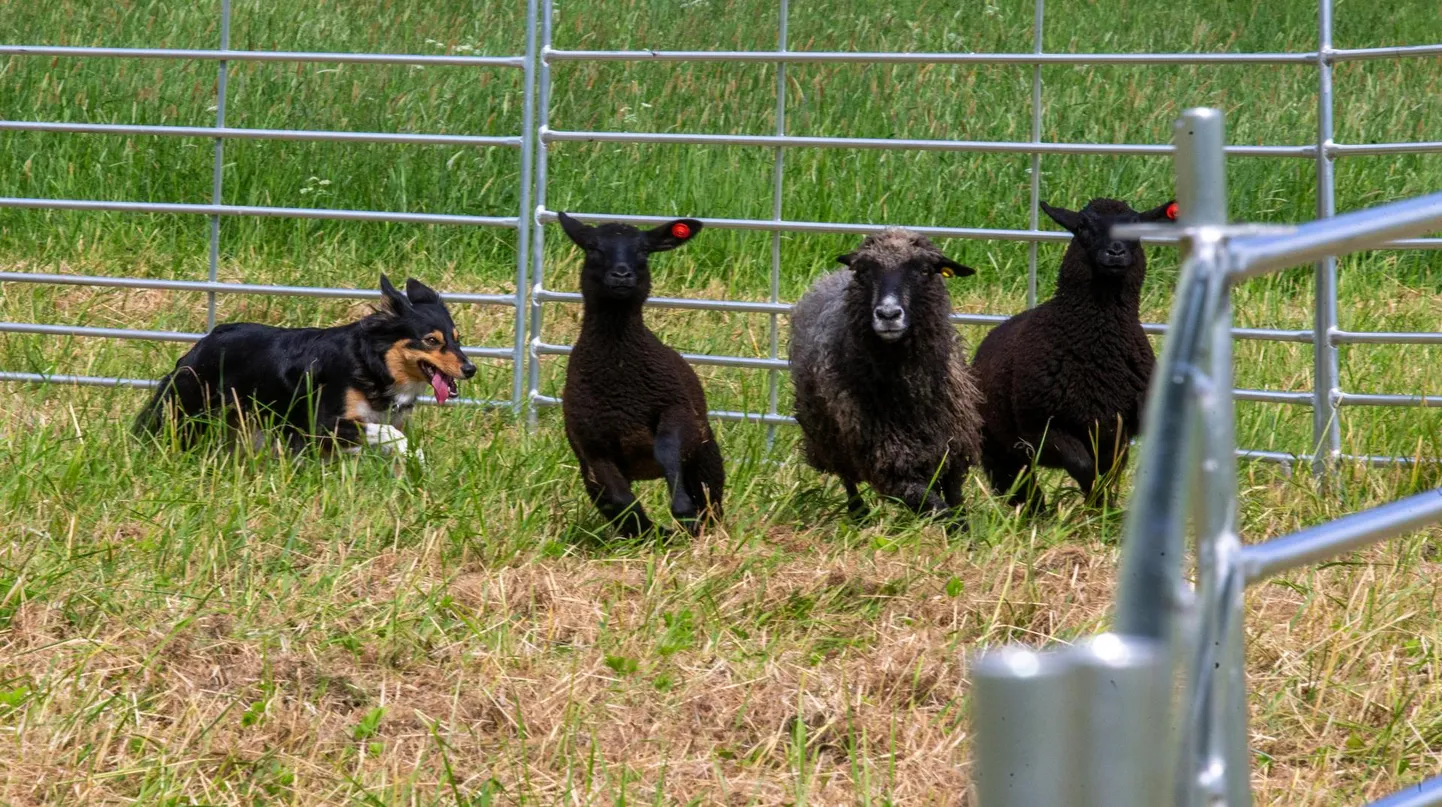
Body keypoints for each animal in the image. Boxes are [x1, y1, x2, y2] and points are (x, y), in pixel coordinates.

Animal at [135, 273, 475, 458]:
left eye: (457, 339)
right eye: (431, 341)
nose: (470, 369)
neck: (373, 364)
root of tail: (202, 343)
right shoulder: (320, 424)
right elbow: (390, 433)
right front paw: (406, 454)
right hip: (186, 406)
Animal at [556, 208, 726, 536]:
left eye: (644, 251)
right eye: (593, 248)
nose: (622, 275)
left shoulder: (676, 411)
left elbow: (668, 449)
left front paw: (683, 511)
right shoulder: (591, 444)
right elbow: (620, 499)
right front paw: (651, 531)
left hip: (706, 450)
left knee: (709, 493)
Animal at [784, 227, 986, 524]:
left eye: (925, 269)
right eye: (864, 270)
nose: (888, 314)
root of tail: (827, 278)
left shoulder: (952, 453)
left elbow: (956, 508)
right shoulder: (890, 467)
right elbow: (938, 509)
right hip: (829, 438)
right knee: (847, 477)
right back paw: (859, 515)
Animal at [969, 195, 1182, 510]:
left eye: (1136, 227)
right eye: (1082, 226)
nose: (1115, 252)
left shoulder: (1116, 430)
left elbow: (1110, 471)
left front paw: (1102, 510)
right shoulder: (1044, 430)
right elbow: (1083, 466)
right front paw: (1095, 503)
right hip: (999, 444)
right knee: (1015, 482)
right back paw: (1034, 512)